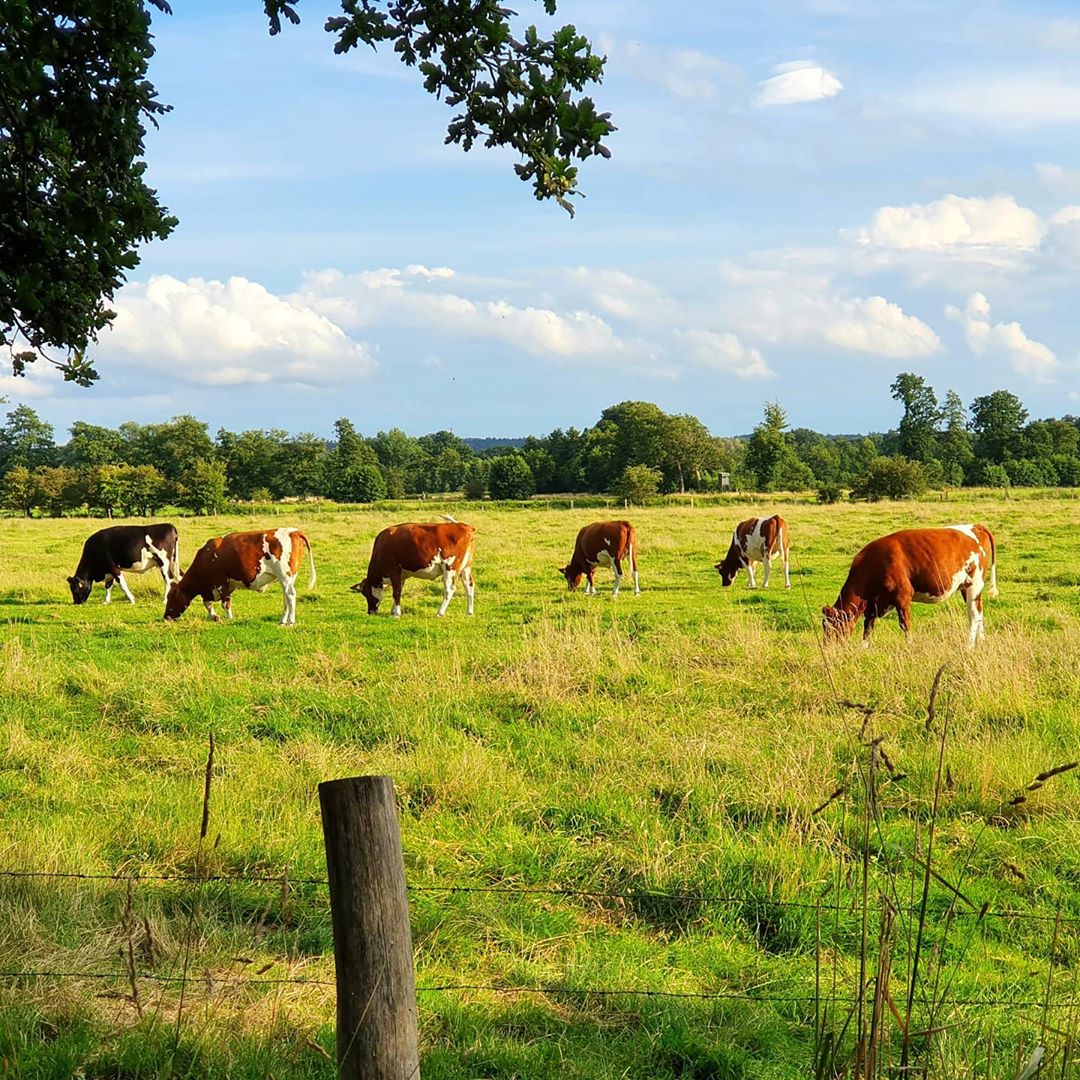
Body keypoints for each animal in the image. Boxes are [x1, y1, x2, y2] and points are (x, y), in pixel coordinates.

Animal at [159, 529, 315, 626]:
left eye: (171, 597)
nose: (165, 617)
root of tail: (294, 531)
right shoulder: (212, 589)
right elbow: (207, 603)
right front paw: (214, 617)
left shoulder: (220, 581)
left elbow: (225, 602)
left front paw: (229, 618)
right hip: (287, 579)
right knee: (286, 598)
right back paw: (282, 620)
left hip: (285, 576)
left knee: (290, 595)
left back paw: (290, 622)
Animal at [825, 524, 993, 648]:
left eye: (832, 626)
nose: (828, 649)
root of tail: (974, 526)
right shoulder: (873, 604)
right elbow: (868, 627)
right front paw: (863, 649)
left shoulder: (903, 595)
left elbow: (905, 624)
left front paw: (910, 646)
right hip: (967, 587)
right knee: (979, 611)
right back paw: (982, 641)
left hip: (974, 584)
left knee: (974, 615)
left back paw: (969, 646)